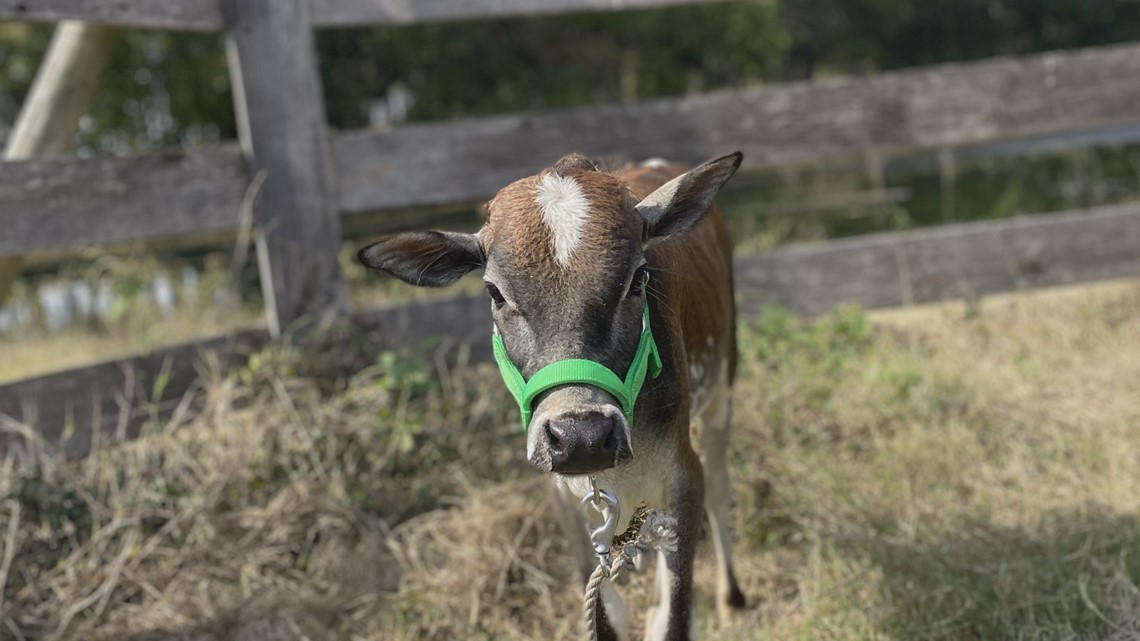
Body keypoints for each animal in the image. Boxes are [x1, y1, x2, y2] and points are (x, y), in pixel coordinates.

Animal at [357, 151, 745, 641]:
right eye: (494, 292)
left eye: (639, 277)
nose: (581, 437)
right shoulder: (565, 496)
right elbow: (607, 612)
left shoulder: (682, 478)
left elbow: (676, 617)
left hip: (723, 384)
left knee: (720, 483)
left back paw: (732, 598)